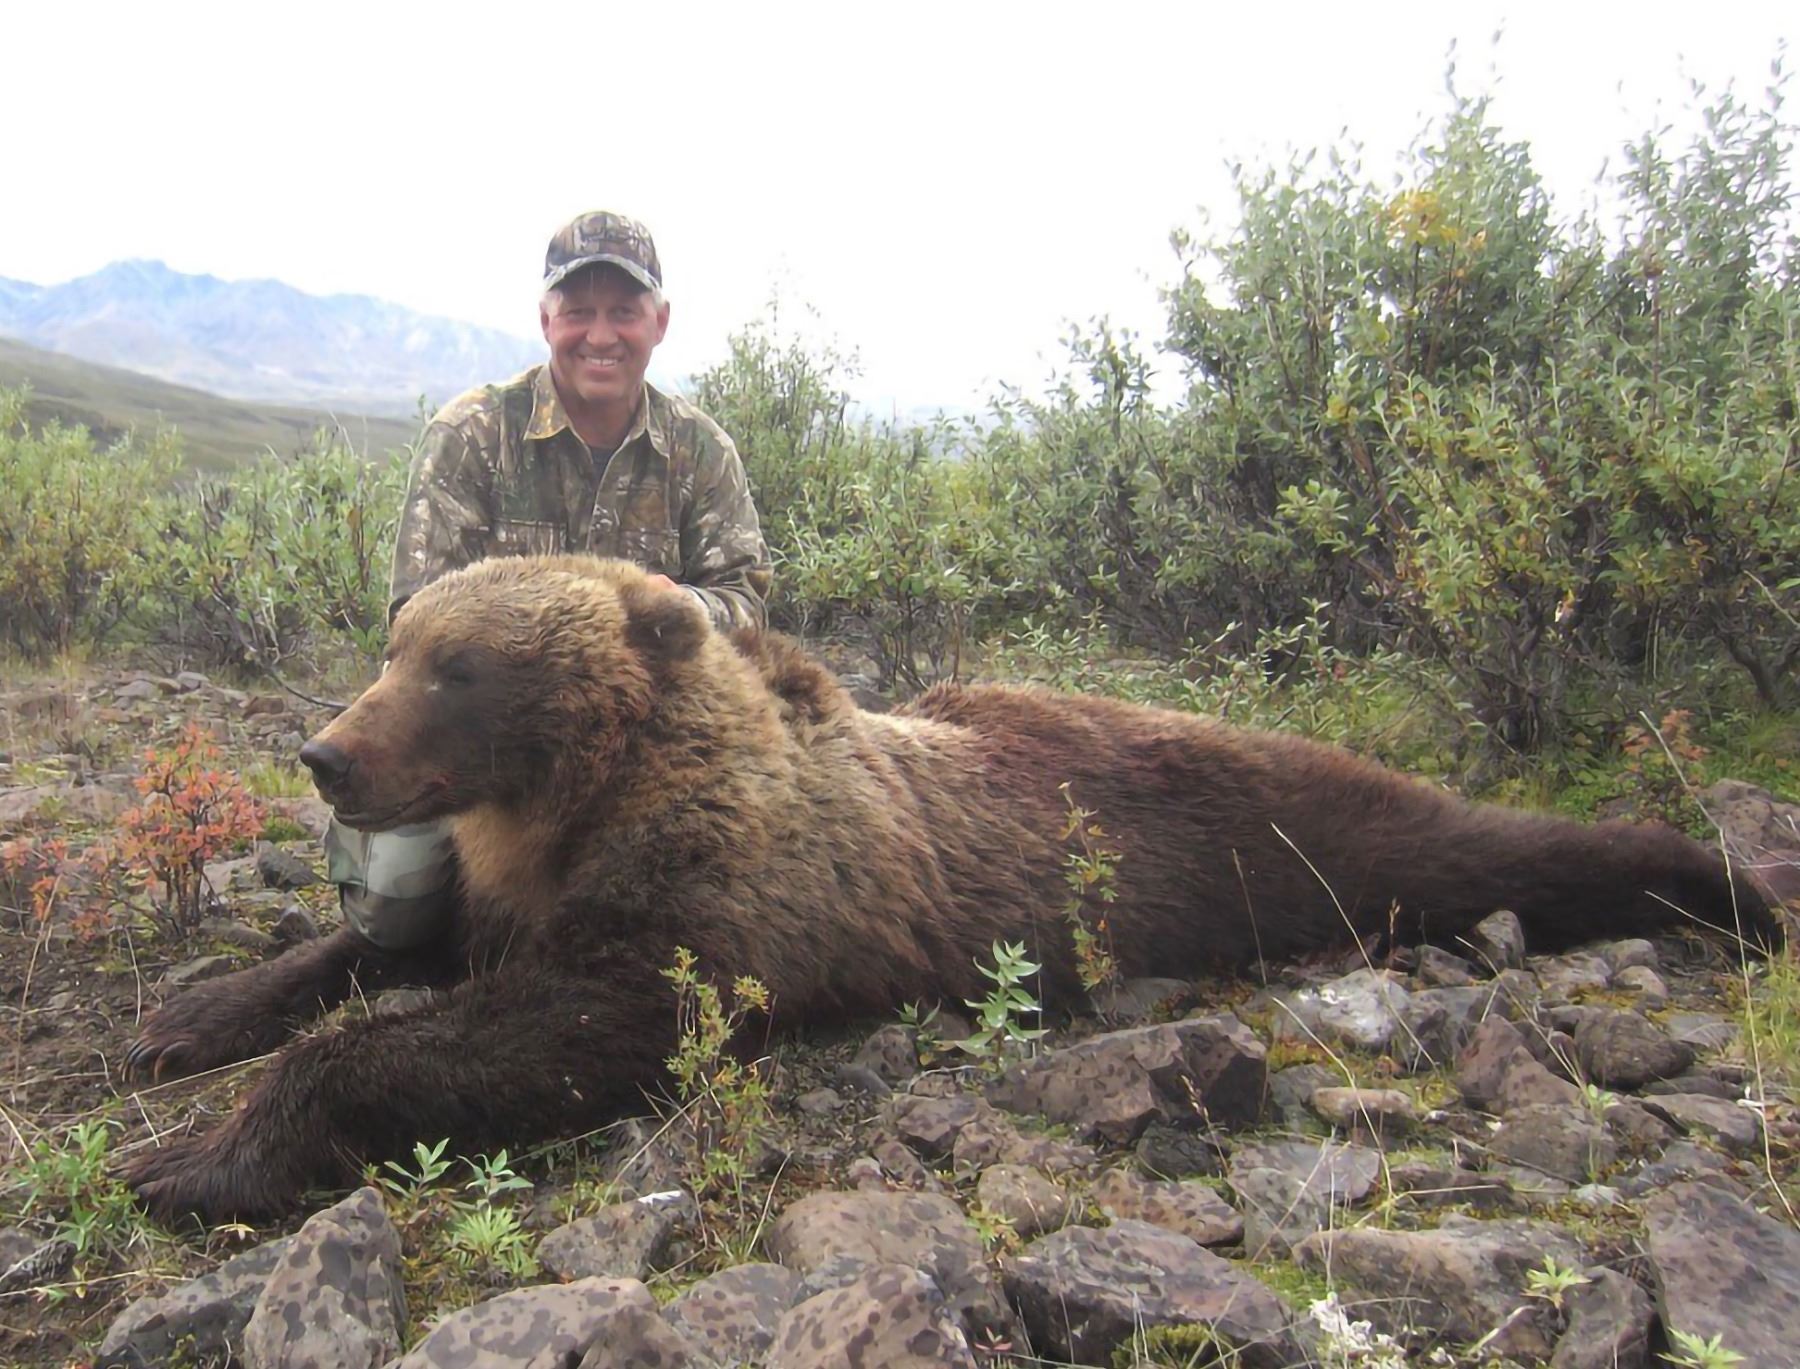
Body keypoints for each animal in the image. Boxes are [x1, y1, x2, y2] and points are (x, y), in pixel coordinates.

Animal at [121, 555, 1781, 1223]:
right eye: (396, 645)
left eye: (458, 670)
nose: (329, 753)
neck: (576, 806)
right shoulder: (498, 883)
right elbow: (373, 958)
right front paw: (186, 1023)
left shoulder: (719, 907)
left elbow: (565, 1023)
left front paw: (202, 1155)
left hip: (1273, 826)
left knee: (1454, 841)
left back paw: (1719, 885)